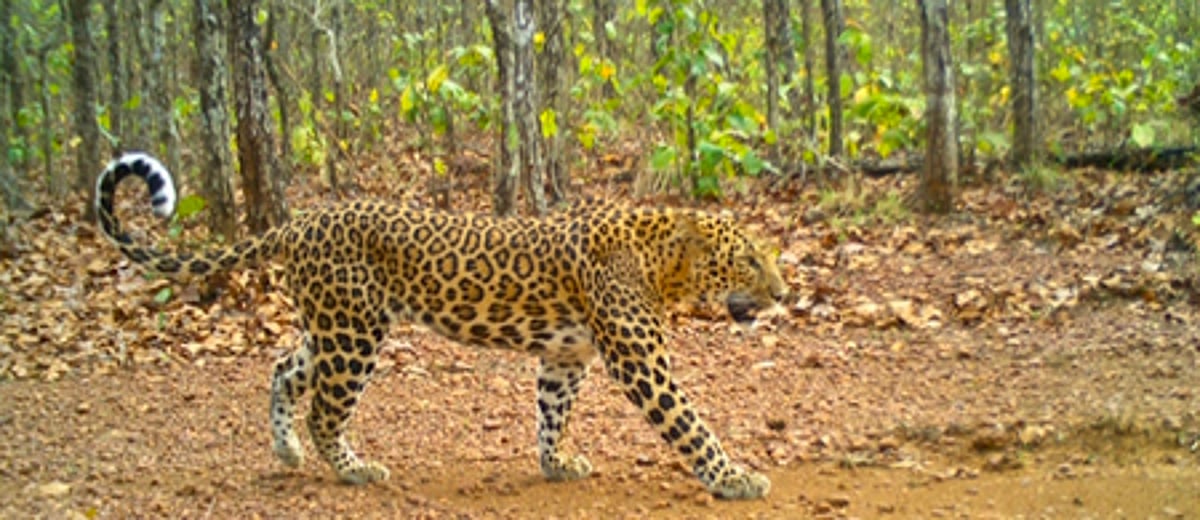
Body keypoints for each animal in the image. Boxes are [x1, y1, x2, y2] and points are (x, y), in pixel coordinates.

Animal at [94, 152, 789, 499]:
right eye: (750, 259)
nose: (783, 294)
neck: (662, 263)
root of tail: (299, 222)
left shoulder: (565, 357)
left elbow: (551, 413)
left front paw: (556, 464)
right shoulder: (641, 363)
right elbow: (691, 425)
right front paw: (733, 479)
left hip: (331, 327)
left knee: (284, 370)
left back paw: (286, 449)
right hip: (353, 335)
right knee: (324, 409)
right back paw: (353, 469)